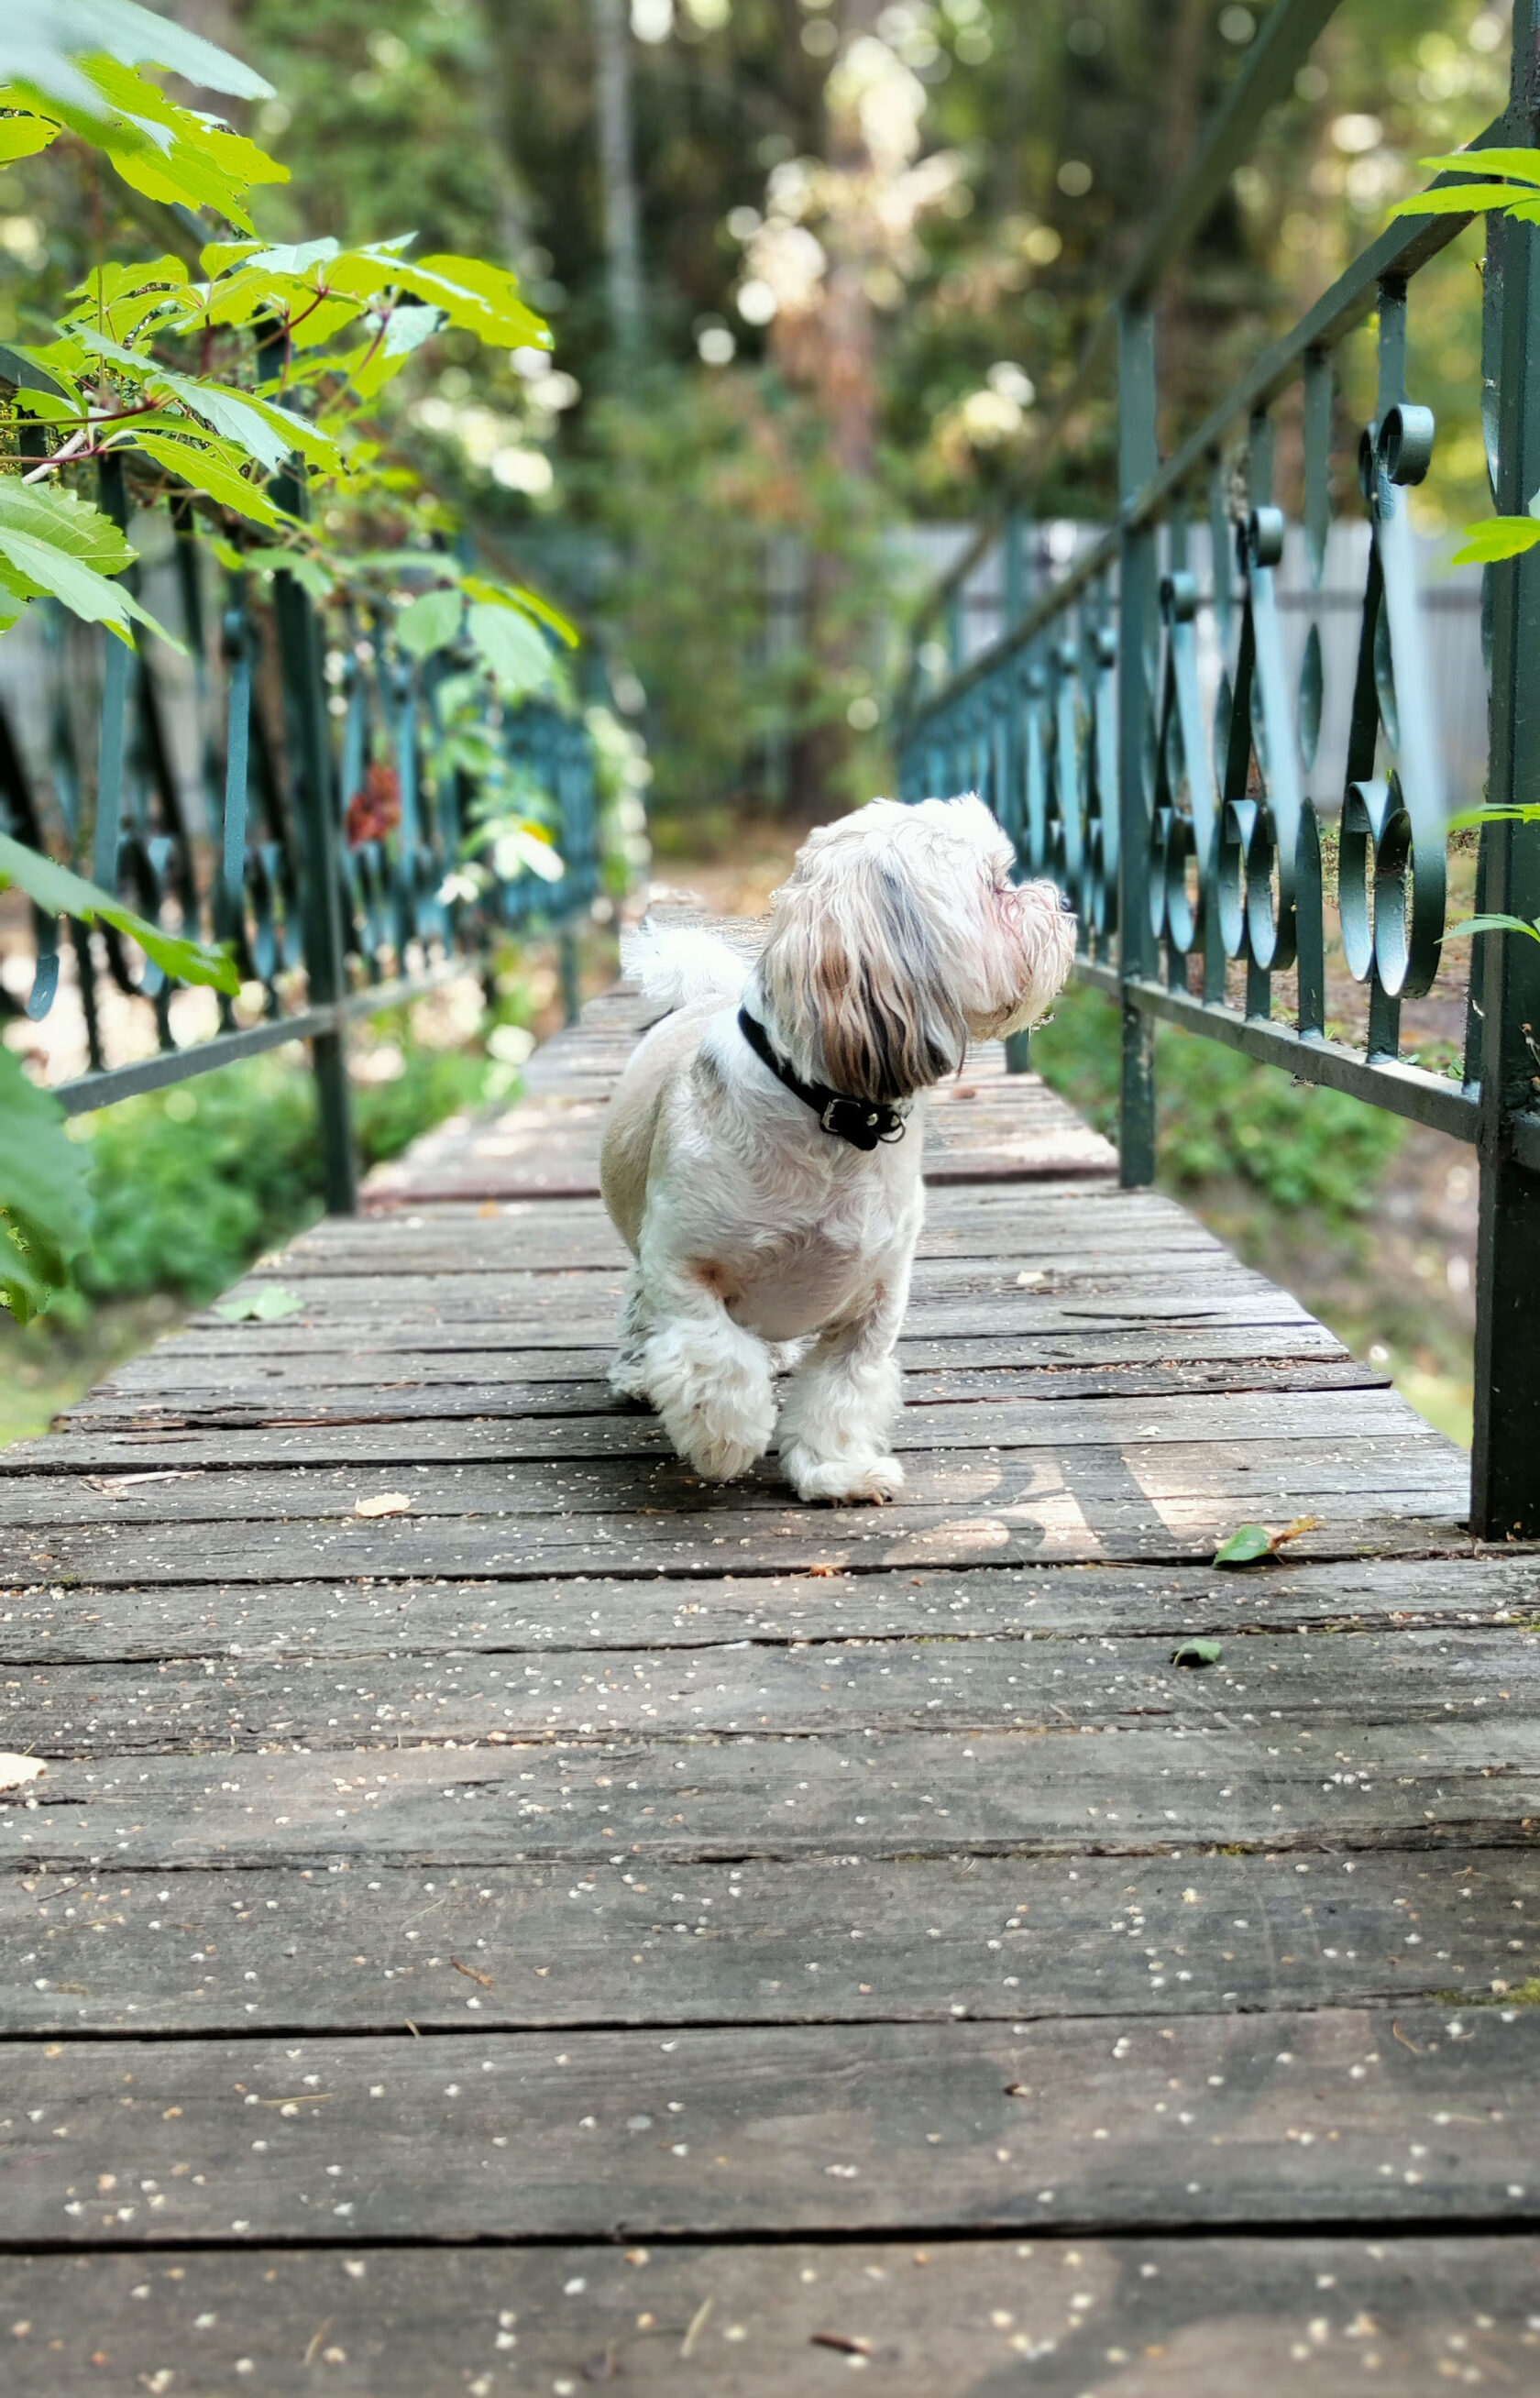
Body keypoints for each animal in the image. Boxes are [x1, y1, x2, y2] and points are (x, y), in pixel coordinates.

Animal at [594, 796, 1074, 1505]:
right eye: (995, 887)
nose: (1059, 903)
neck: (838, 1119)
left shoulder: (874, 1301)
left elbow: (842, 1389)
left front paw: (836, 1470)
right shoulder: (682, 1266)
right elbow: (713, 1356)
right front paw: (726, 1437)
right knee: (647, 1309)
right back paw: (637, 1372)